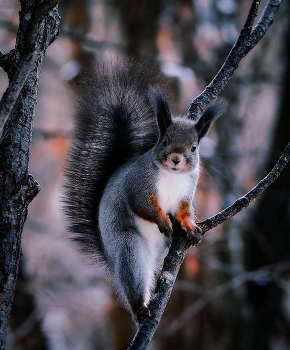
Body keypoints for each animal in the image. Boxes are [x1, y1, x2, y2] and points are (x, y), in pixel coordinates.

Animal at [63, 58, 227, 324]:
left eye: (194, 147)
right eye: (164, 141)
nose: (176, 159)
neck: (172, 176)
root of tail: (110, 259)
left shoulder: (186, 194)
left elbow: (185, 211)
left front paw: (190, 227)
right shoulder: (138, 186)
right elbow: (144, 206)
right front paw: (164, 222)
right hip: (129, 248)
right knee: (133, 280)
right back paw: (139, 308)